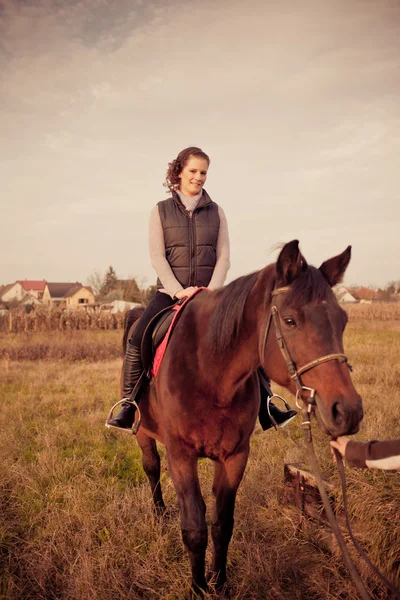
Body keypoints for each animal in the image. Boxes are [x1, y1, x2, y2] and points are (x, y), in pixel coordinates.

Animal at [120, 241, 360, 596]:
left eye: (342, 321)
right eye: (290, 320)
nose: (348, 411)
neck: (210, 373)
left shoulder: (235, 456)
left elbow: (222, 523)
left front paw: (220, 583)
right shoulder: (181, 456)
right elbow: (194, 527)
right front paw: (198, 588)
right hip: (143, 433)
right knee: (151, 467)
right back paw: (159, 513)